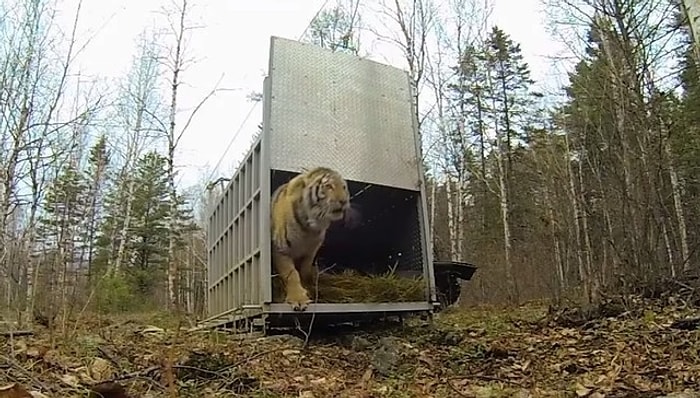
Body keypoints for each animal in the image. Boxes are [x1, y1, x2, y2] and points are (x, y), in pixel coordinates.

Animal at [270, 166, 352, 312]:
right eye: (329, 186)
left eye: (344, 187)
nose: (344, 201)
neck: (310, 227)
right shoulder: (281, 249)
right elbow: (291, 274)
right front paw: (298, 299)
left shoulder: (311, 251)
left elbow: (304, 271)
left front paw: (308, 289)